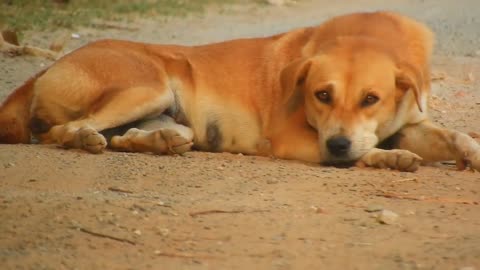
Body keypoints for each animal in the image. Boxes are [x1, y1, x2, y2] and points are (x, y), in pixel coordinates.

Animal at [0, 11, 480, 172]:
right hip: (146, 86)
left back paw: (160, 142)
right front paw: (386, 157)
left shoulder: (409, 123)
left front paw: (470, 152)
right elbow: (363, 152)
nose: (339, 143)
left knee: (132, 137)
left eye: (371, 99)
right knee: (63, 131)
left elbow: (455, 136)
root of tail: (48, 66)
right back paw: (85, 138)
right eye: (321, 95)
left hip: (164, 112)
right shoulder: (292, 138)